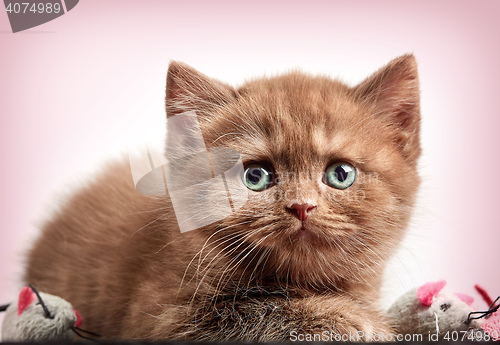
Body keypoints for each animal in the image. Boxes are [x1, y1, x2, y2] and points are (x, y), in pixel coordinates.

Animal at [25, 53, 420, 338]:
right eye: (255, 176)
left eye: (341, 174)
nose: (301, 206)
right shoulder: (159, 318)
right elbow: (258, 307)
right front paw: (348, 319)